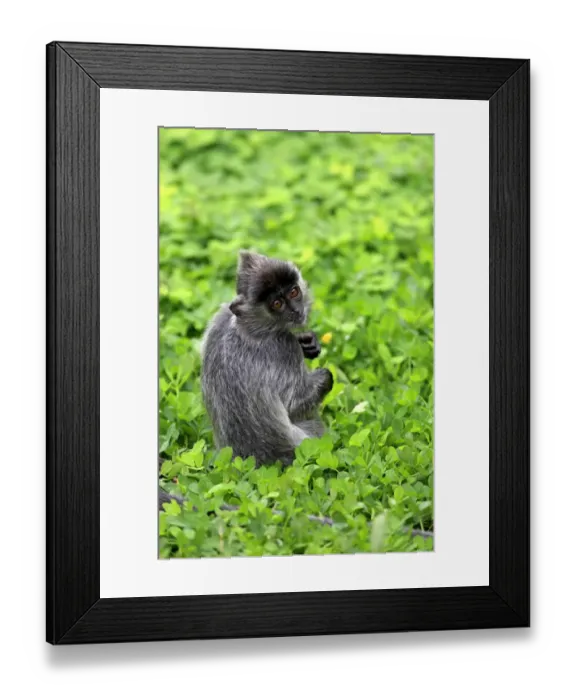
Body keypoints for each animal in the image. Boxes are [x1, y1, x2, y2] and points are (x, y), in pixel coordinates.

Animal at [199, 250, 334, 468]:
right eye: (277, 304)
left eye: (294, 292)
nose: (297, 311)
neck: (246, 327)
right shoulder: (284, 347)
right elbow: (293, 406)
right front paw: (324, 374)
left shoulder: (221, 318)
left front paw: (308, 342)